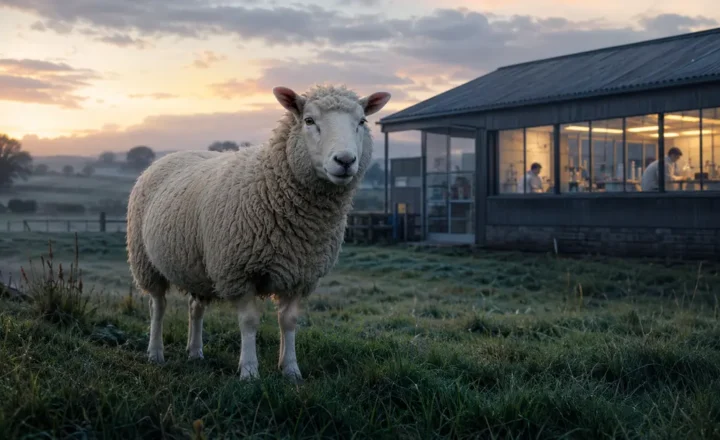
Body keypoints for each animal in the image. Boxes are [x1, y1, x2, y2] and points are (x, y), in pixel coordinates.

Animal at [125, 84, 391, 382]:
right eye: (309, 120)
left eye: (362, 121)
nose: (345, 160)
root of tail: (173, 154)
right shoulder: (239, 271)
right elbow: (250, 321)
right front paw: (250, 371)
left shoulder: (299, 273)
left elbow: (289, 321)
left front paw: (290, 369)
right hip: (146, 260)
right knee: (157, 306)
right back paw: (155, 353)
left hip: (198, 266)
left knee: (196, 307)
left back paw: (195, 352)